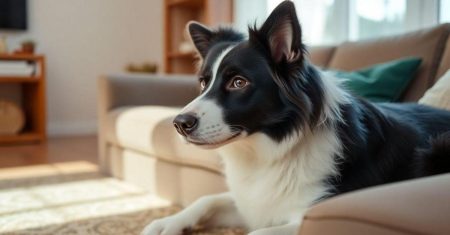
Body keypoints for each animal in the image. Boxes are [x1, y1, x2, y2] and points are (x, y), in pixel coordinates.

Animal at [143, 0, 450, 234]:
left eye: (239, 82)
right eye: (203, 83)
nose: (179, 124)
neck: (272, 150)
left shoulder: (308, 216)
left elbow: (256, 232)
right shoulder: (255, 205)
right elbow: (208, 199)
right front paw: (167, 222)